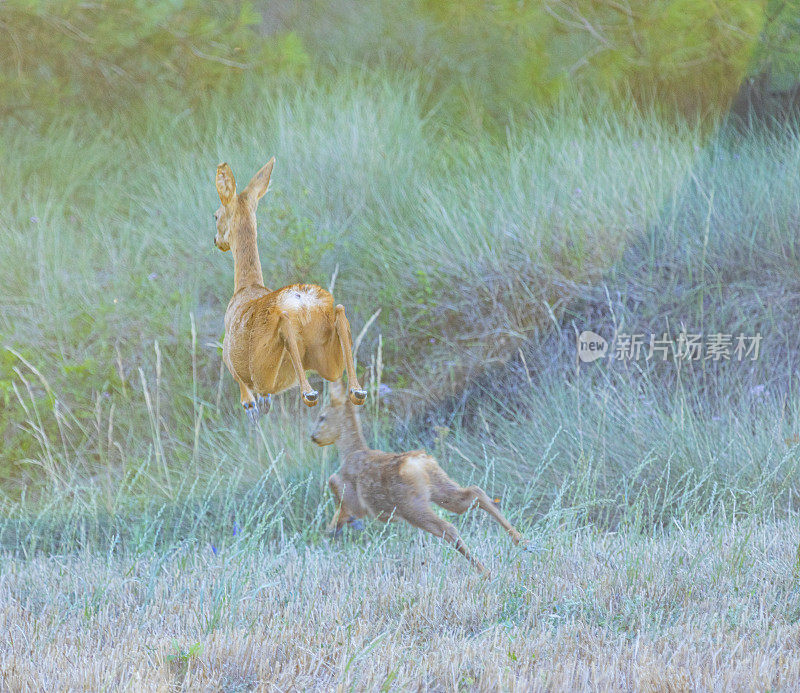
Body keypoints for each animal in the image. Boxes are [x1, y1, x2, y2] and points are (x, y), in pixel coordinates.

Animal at [211, 161, 364, 422]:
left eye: (216, 215)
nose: (216, 240)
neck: (246, 286)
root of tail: (301, 302)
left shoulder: (231, 359)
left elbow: (239, 380)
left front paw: (250, 406)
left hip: (264, 366)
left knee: (284, 325)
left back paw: (308, 394)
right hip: (325, 357)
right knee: (340, 314)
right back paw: (356, 391)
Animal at [310, 378, 528, 572]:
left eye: (322, 417)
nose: (313, 437)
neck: (351, 452)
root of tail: (419, 462)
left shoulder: (356, 500)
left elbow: (333, 482)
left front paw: (339, 525)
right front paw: (334, 527)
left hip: (411, 506)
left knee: (448, 527)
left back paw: (485, 571)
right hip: (440, 487)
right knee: (474, 493)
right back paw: (521, 541)